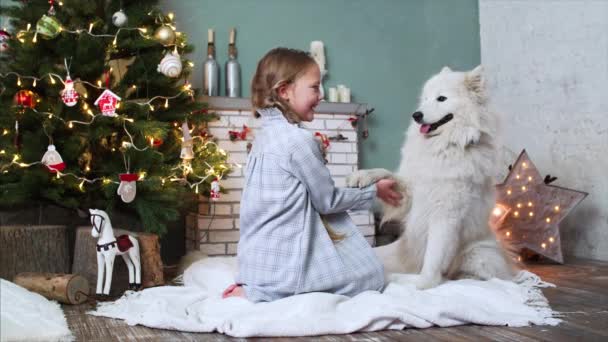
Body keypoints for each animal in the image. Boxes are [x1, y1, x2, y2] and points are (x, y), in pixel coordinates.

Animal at [346, 66, 512, 288]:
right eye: (425, 99)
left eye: (441, 98)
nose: (416, 115)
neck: (443, 146)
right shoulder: (411, 192)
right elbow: (387, 173)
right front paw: (361, 176)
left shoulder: (446, 216)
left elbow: (432, 267)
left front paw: (409, 281)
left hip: (480, 255)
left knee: (490, 277)